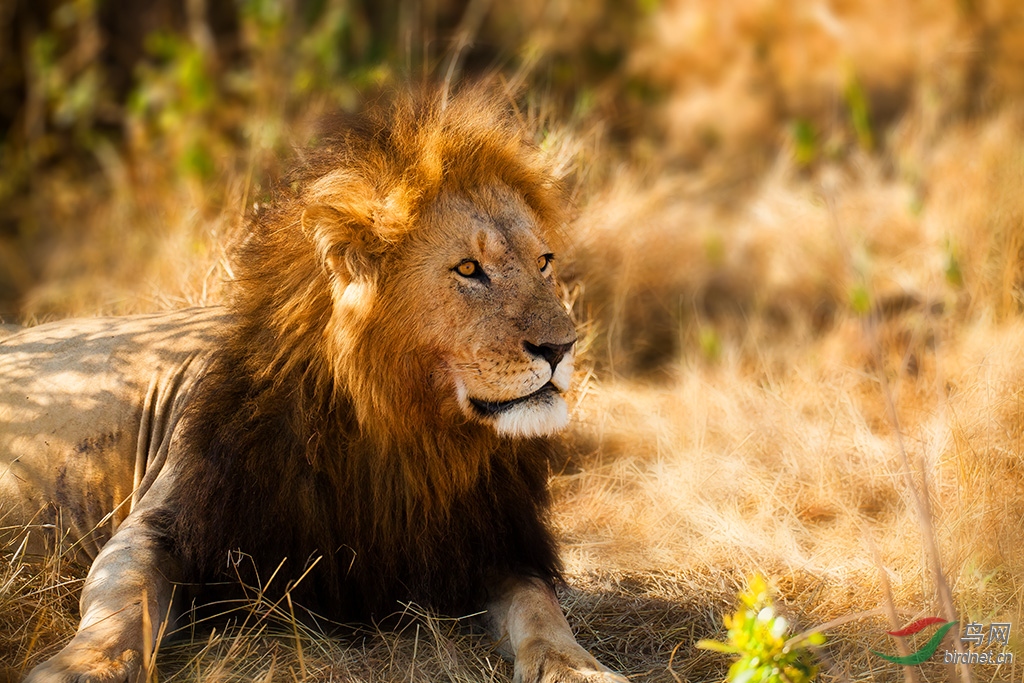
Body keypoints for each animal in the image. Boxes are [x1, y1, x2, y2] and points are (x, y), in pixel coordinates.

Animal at [4, 92, 626, 683]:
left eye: (544, 263)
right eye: (469, 269)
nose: (562, 347)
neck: (405, 435)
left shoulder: (498, 546)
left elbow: (541, 606)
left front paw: (578, 667)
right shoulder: (170, 524)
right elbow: (123, 601)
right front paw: (83, 668)